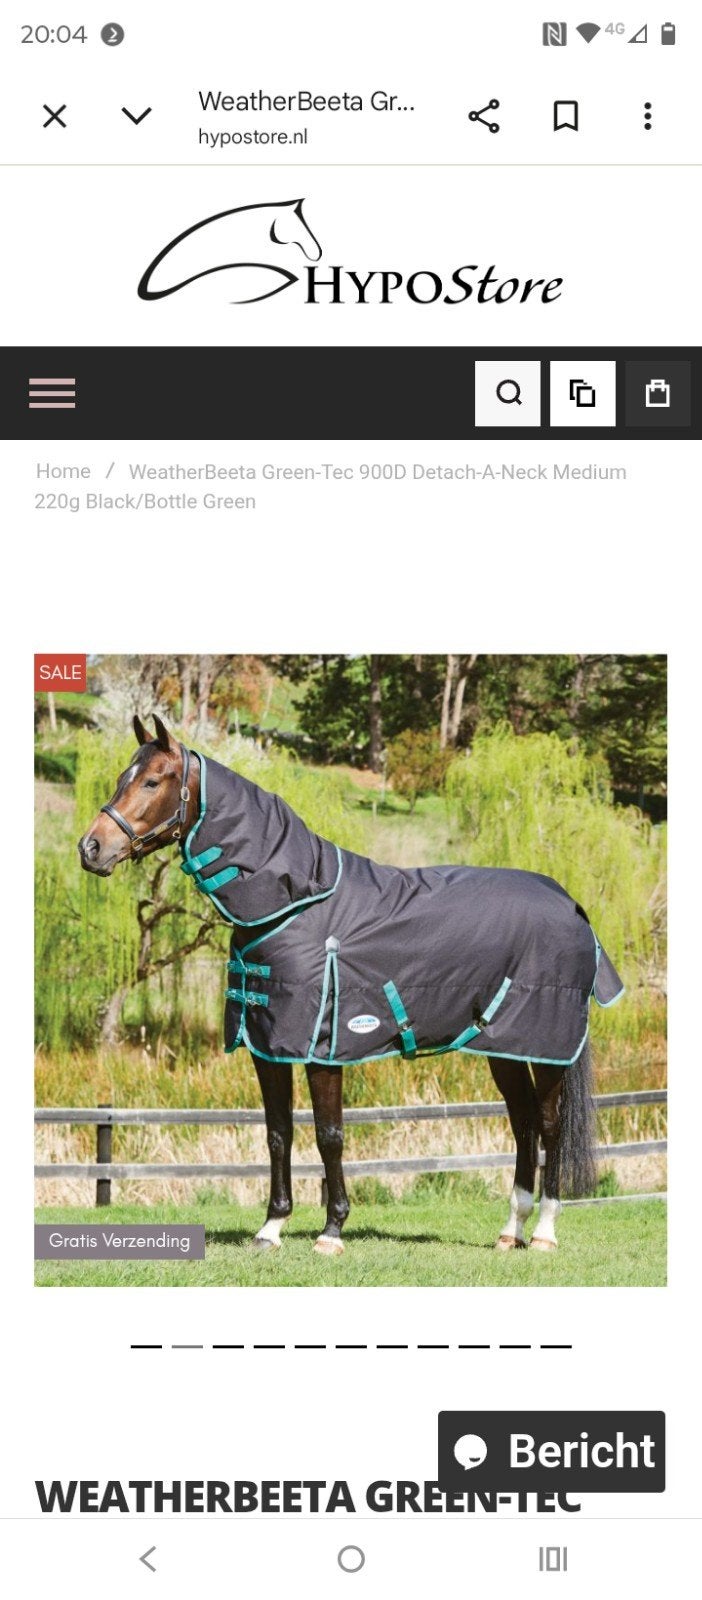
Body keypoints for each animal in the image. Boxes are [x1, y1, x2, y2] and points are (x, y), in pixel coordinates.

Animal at [78, 716, 624, 1258]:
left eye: (152, 781)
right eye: (123, 778)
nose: (91, 848)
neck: (294, 902)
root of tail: (572, 905)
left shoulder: (324, 1048)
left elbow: (329, 1135)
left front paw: (332, 1230)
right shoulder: (269, 1044)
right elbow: (278, 1133)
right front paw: (271, 1227)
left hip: (546, 1048)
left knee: (549, 1125)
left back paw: (544, 1232)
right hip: (503, 1048)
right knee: (523, 1122)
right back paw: (510, 1231)